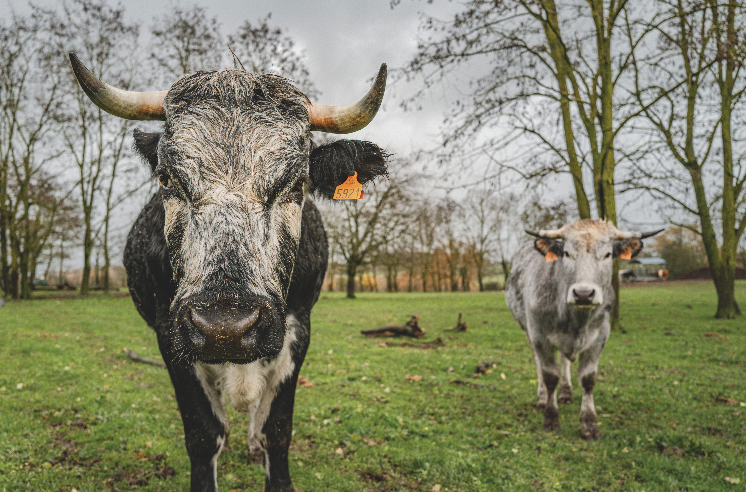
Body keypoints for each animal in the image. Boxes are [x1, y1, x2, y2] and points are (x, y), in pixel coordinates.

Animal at [68, 52, 389, 492]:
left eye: (297, 184)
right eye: (166, 178)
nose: (226, 327)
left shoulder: (299, 329)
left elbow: (277, 429)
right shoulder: (170, 335)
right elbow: (204, 434)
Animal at [505, 220, 661, 439]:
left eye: (607, 254)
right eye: (567, 253)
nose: (584, 294)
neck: (575, 320)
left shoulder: (601, 335)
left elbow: (588, 379)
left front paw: (589, 424)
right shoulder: (539, 336)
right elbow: (549, 376)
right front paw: (550, 419)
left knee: (564, 361)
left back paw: (565, 393)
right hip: (526, 329)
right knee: (538, 364)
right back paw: (542, 398)